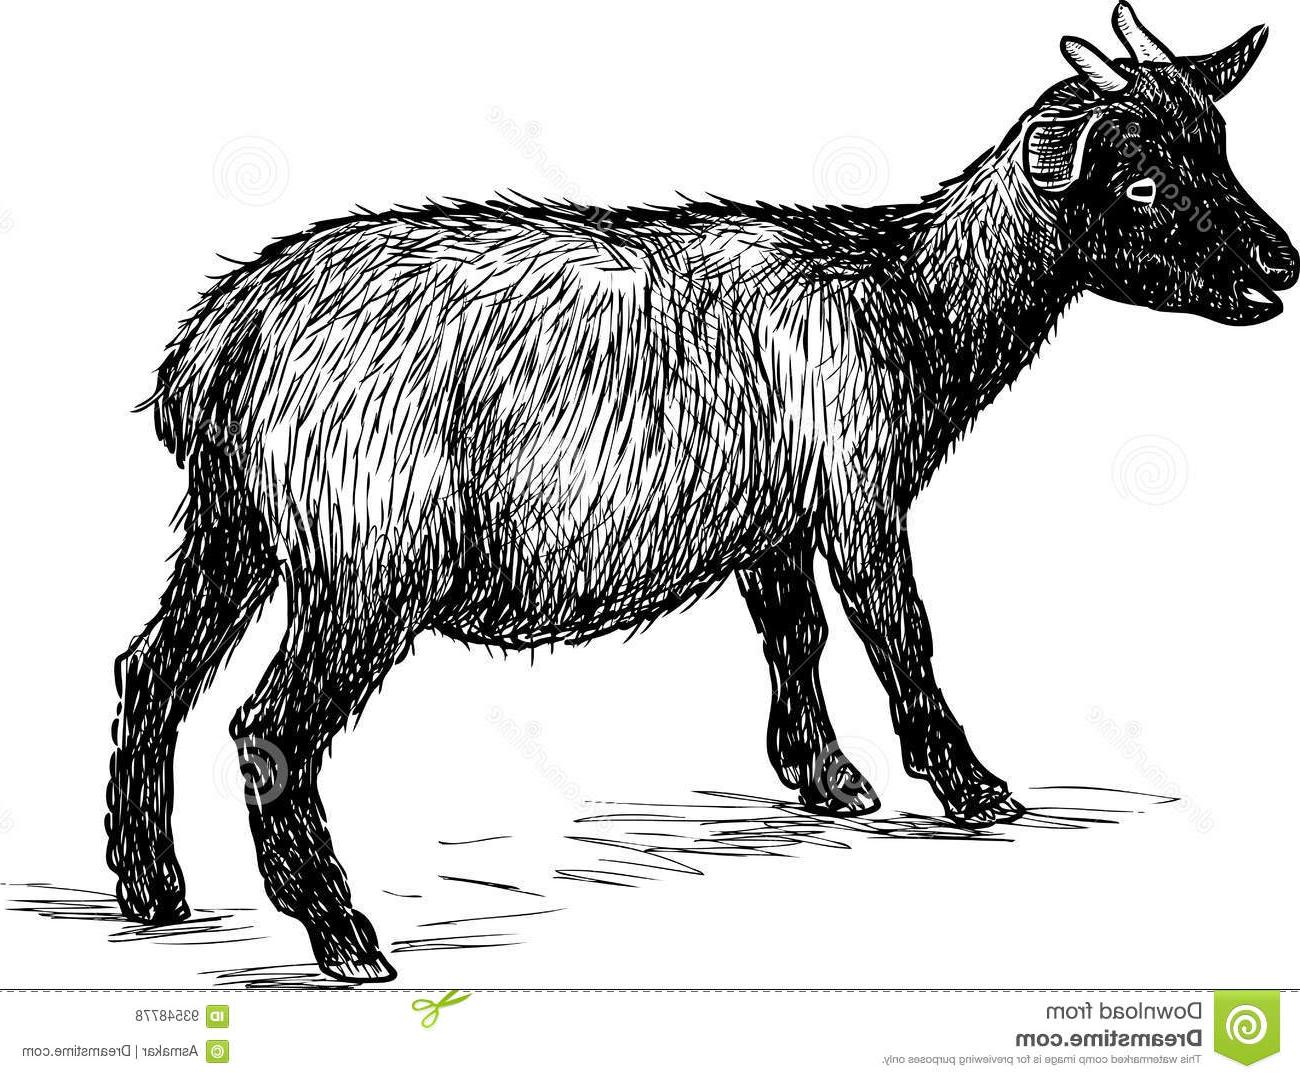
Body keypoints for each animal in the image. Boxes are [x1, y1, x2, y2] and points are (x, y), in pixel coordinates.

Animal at [108, 4, 1296, 981]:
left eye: (1220, 148)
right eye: (1139, 183)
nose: (1277, 266)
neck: (909, 294)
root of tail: (216, 342)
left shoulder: (775, 519)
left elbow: (795, 631)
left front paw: (826, 776)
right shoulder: (858, 489)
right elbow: (899, 630)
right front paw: (968, 785)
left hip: (232, 531)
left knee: (151, 672)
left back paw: (151, 886)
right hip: (364, 561)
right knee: (268, 725)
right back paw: (339, 932)